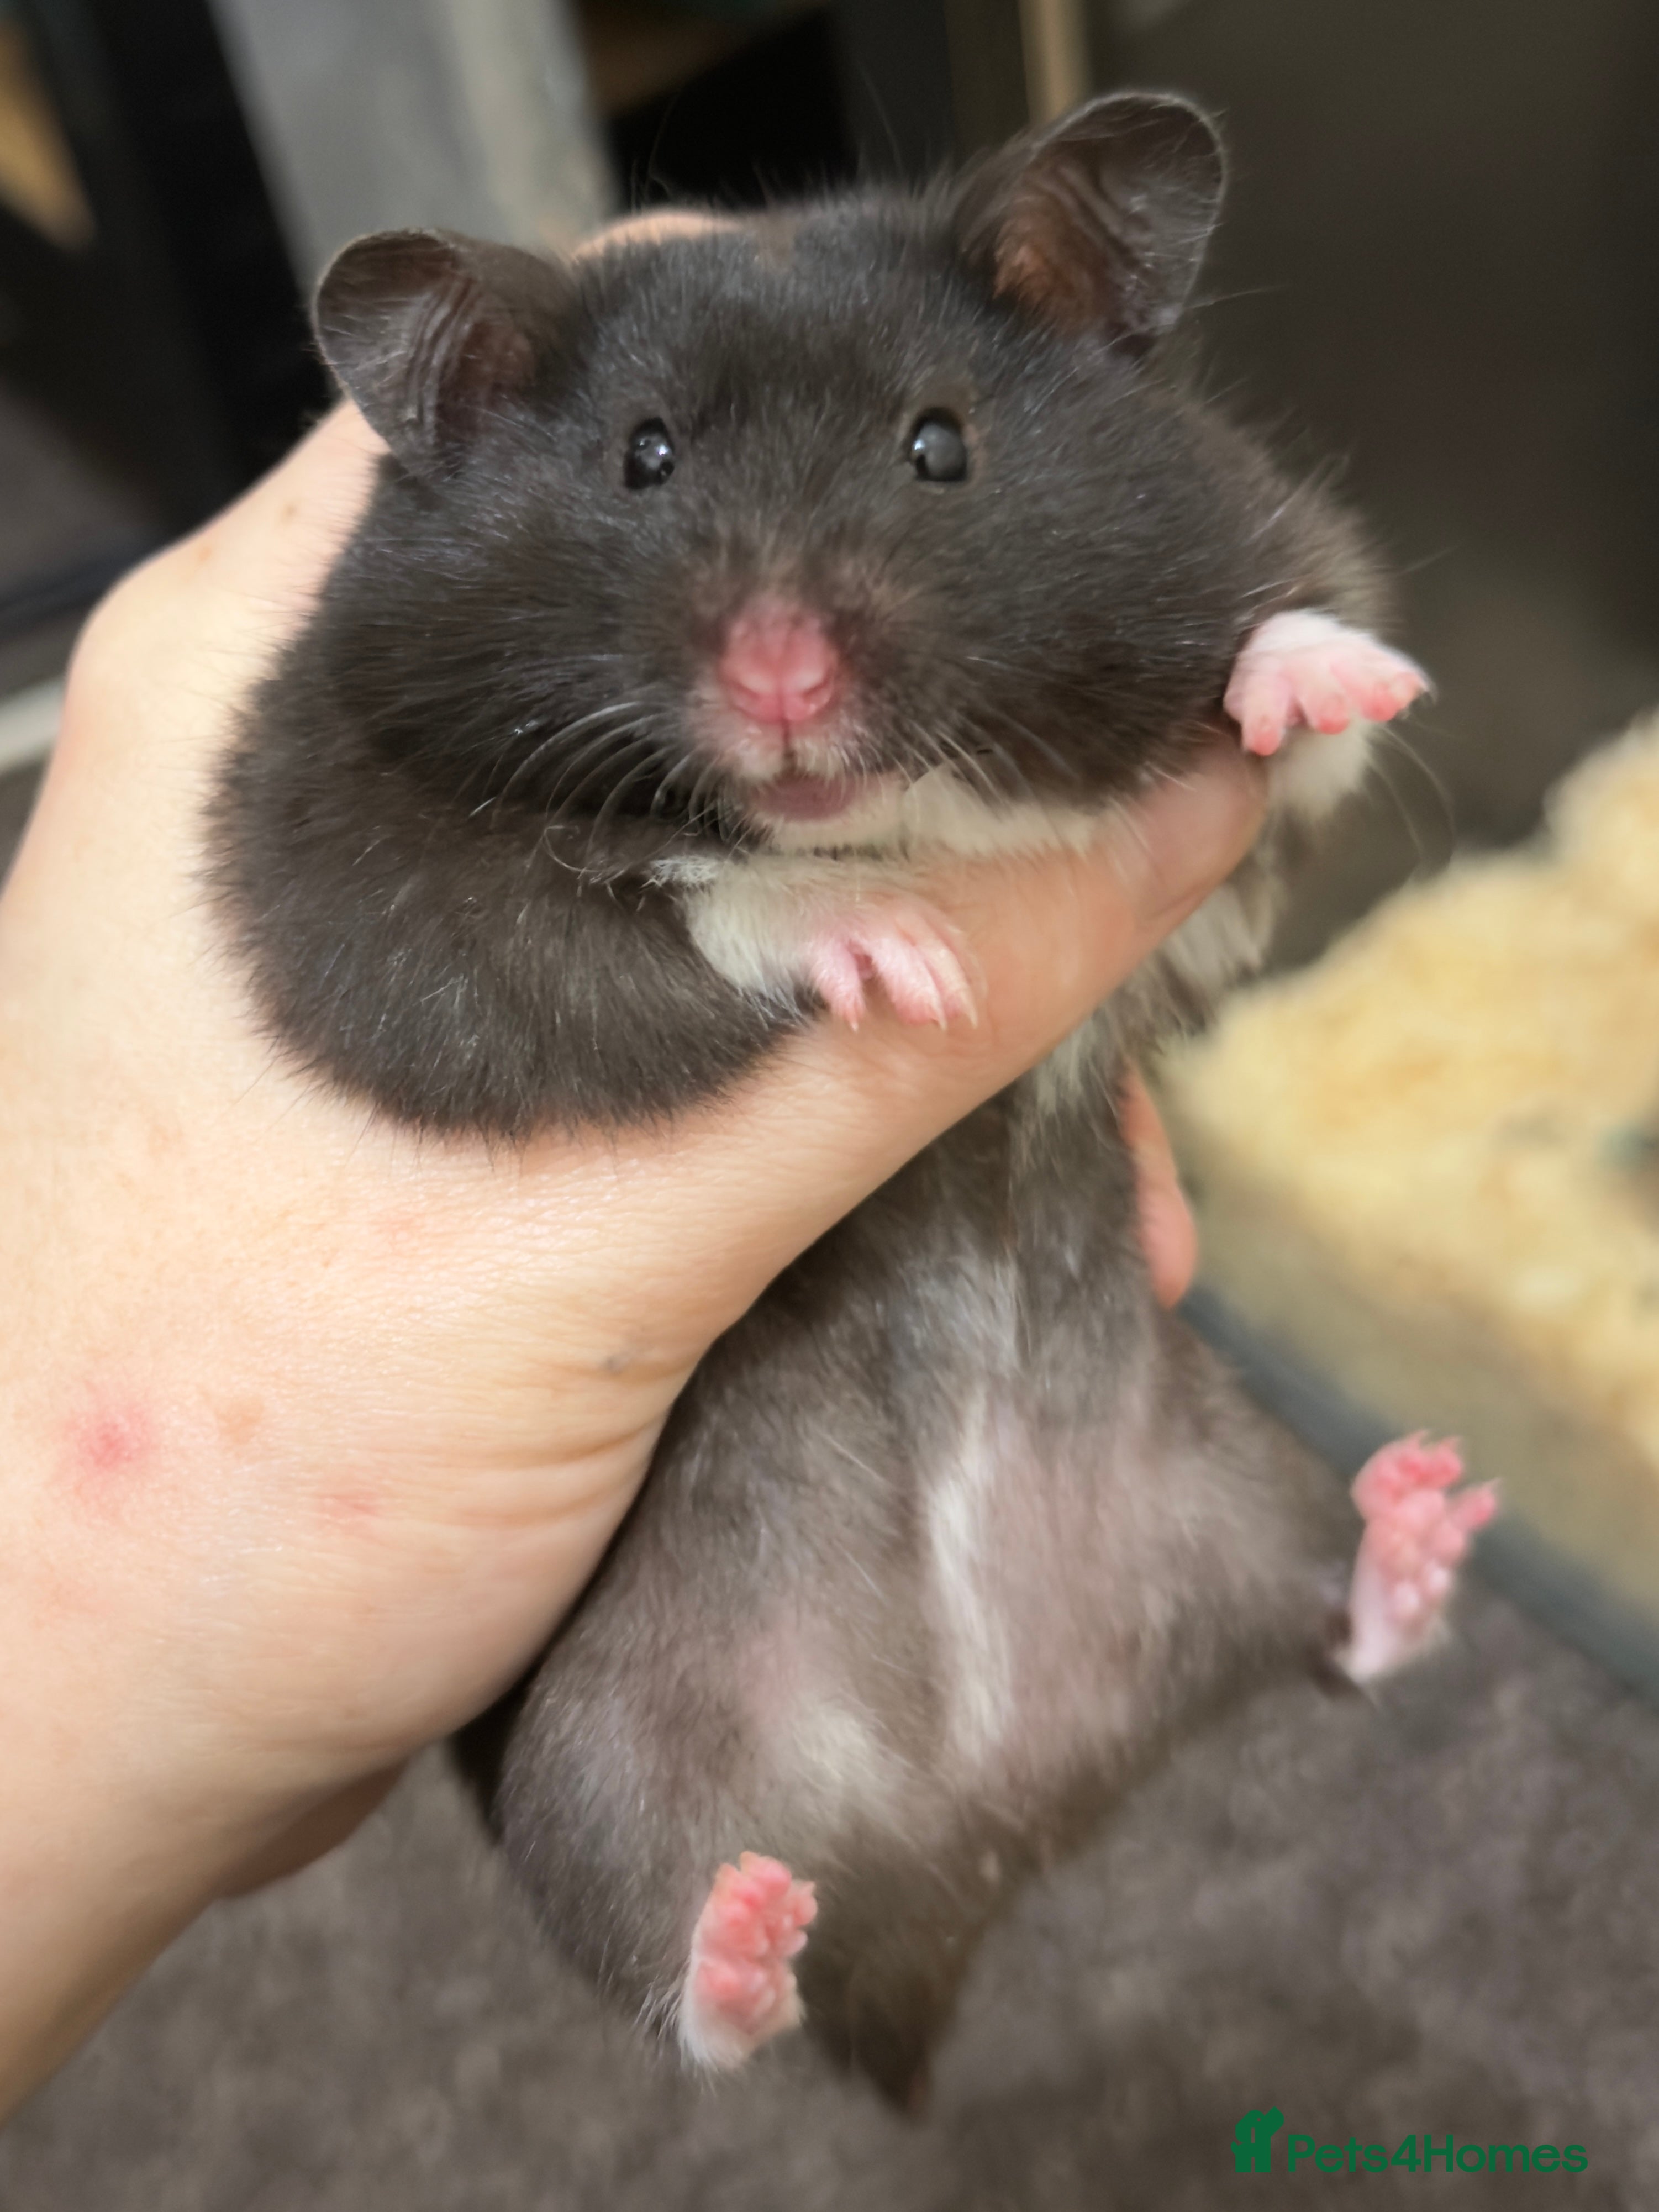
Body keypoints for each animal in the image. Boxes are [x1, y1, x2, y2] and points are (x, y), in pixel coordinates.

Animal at [212, 93, 1495, 2107]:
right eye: (643, 458)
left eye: (938, 443)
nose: (782, 683)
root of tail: (988, 1822)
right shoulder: (362, 891)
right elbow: (685, 900)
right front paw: (910, 951)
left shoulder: (1227, 844)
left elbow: (1289, 735)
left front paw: (1331, 676)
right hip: (599, 1757)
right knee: (703, 2008)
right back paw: (745, 1936)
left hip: (1234, 1490)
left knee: (1336, 1633)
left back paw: (1428, 1515)